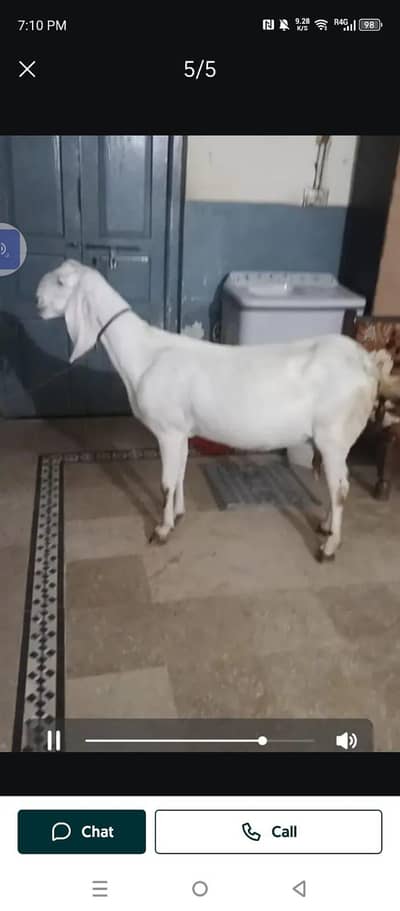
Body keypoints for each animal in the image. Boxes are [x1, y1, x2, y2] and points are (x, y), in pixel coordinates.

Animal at [36, 260, 400, 560]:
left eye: (62, 282)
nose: (37, 301)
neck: (144, 352)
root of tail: (367, 362)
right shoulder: (181, 431)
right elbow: (179, 473)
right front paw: (178, 513)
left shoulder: (167, 430)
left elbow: (165, 482)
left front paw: (162, 530)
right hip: (331, 441)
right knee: (335, 486)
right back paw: (325, 526)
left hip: (334, 436)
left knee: (340, 489)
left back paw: (329, 546)